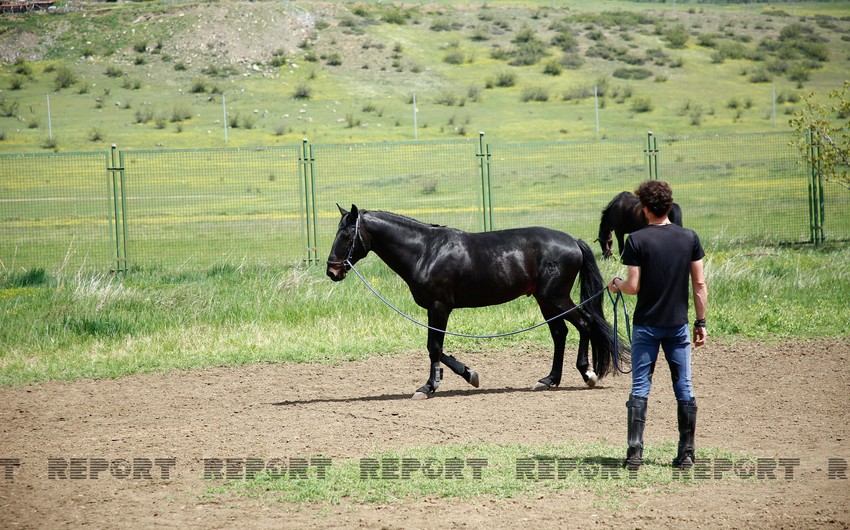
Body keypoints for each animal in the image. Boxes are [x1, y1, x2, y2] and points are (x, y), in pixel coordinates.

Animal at [328, 204, 628, 398]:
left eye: (346, 235)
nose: (332, 270)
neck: (425, 251)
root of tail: (574, 242)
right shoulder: (438, 309)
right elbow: (438, 348)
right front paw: (469, 374)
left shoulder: (439, 307)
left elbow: (433, 347)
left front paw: (429, 386)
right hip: (546, 302)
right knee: (560, 333)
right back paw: (548, 380)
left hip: (555, 298)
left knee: (585, 324)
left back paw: (587, 374)